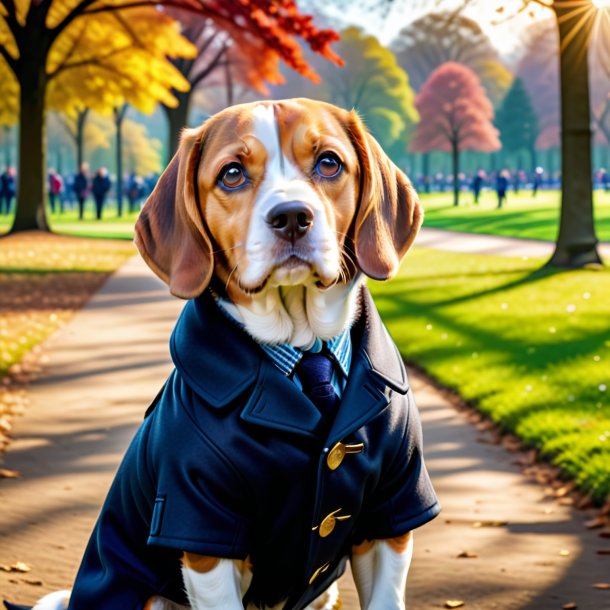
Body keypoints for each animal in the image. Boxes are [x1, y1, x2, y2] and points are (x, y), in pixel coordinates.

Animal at [21, 97, 436, 604]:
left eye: (329, 163)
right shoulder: (201, 529)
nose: (292, 217)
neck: (303, 345)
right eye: (232, 174)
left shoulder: (390, 518)